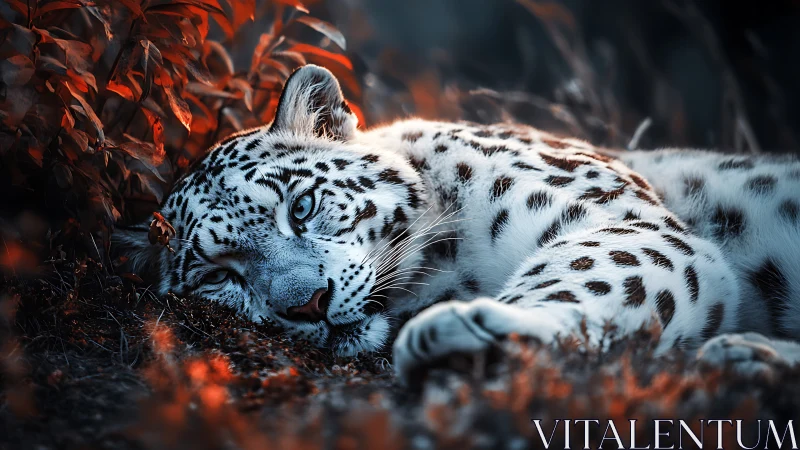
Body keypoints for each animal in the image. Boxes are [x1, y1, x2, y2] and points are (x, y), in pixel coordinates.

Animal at [115, 65, 800, 384]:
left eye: (300, 206)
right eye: (218, 276)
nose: (306, 304)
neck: (448, 271)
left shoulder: (626, 223)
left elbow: (595, 274)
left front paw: (475, 328)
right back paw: (745, 356)